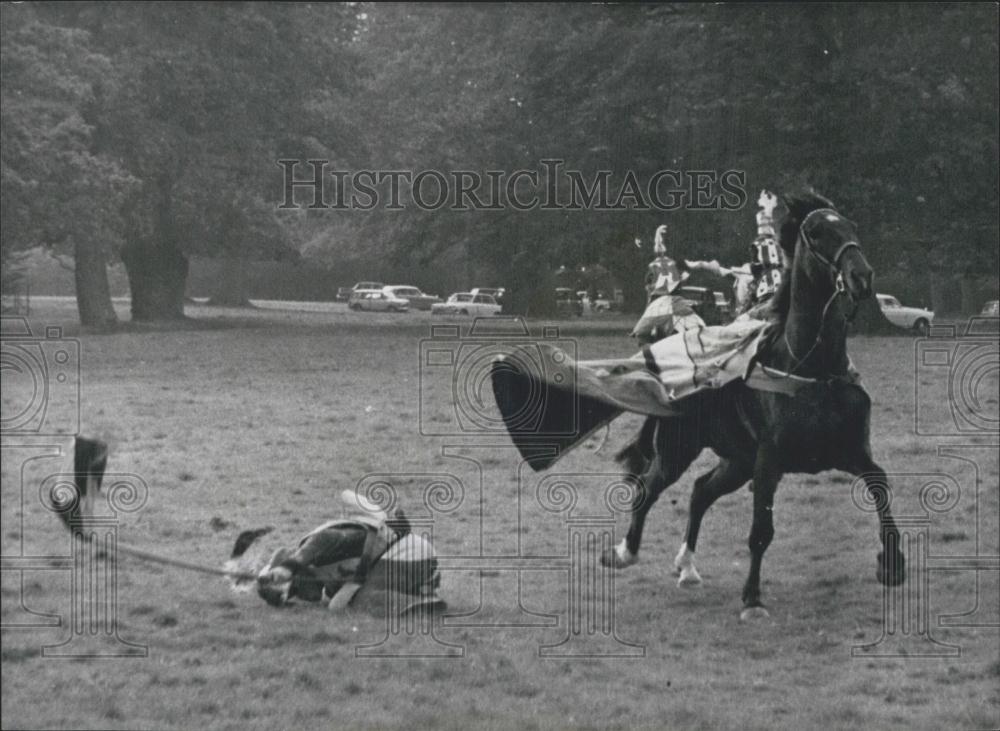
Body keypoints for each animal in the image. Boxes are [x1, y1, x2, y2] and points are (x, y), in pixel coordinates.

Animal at [600, 193, 908, 616]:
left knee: (700, 491)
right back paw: (624, 552)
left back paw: (687, 567)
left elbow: (879, 485)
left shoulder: (848, 451)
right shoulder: (769, 461)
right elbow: (761, 530)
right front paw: (752, 599)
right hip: (679, 450)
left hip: (737, 461)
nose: (861, 276)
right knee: (649, 488)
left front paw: (891, 565)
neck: (813, 368)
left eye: (851, 226)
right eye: (816, 232)